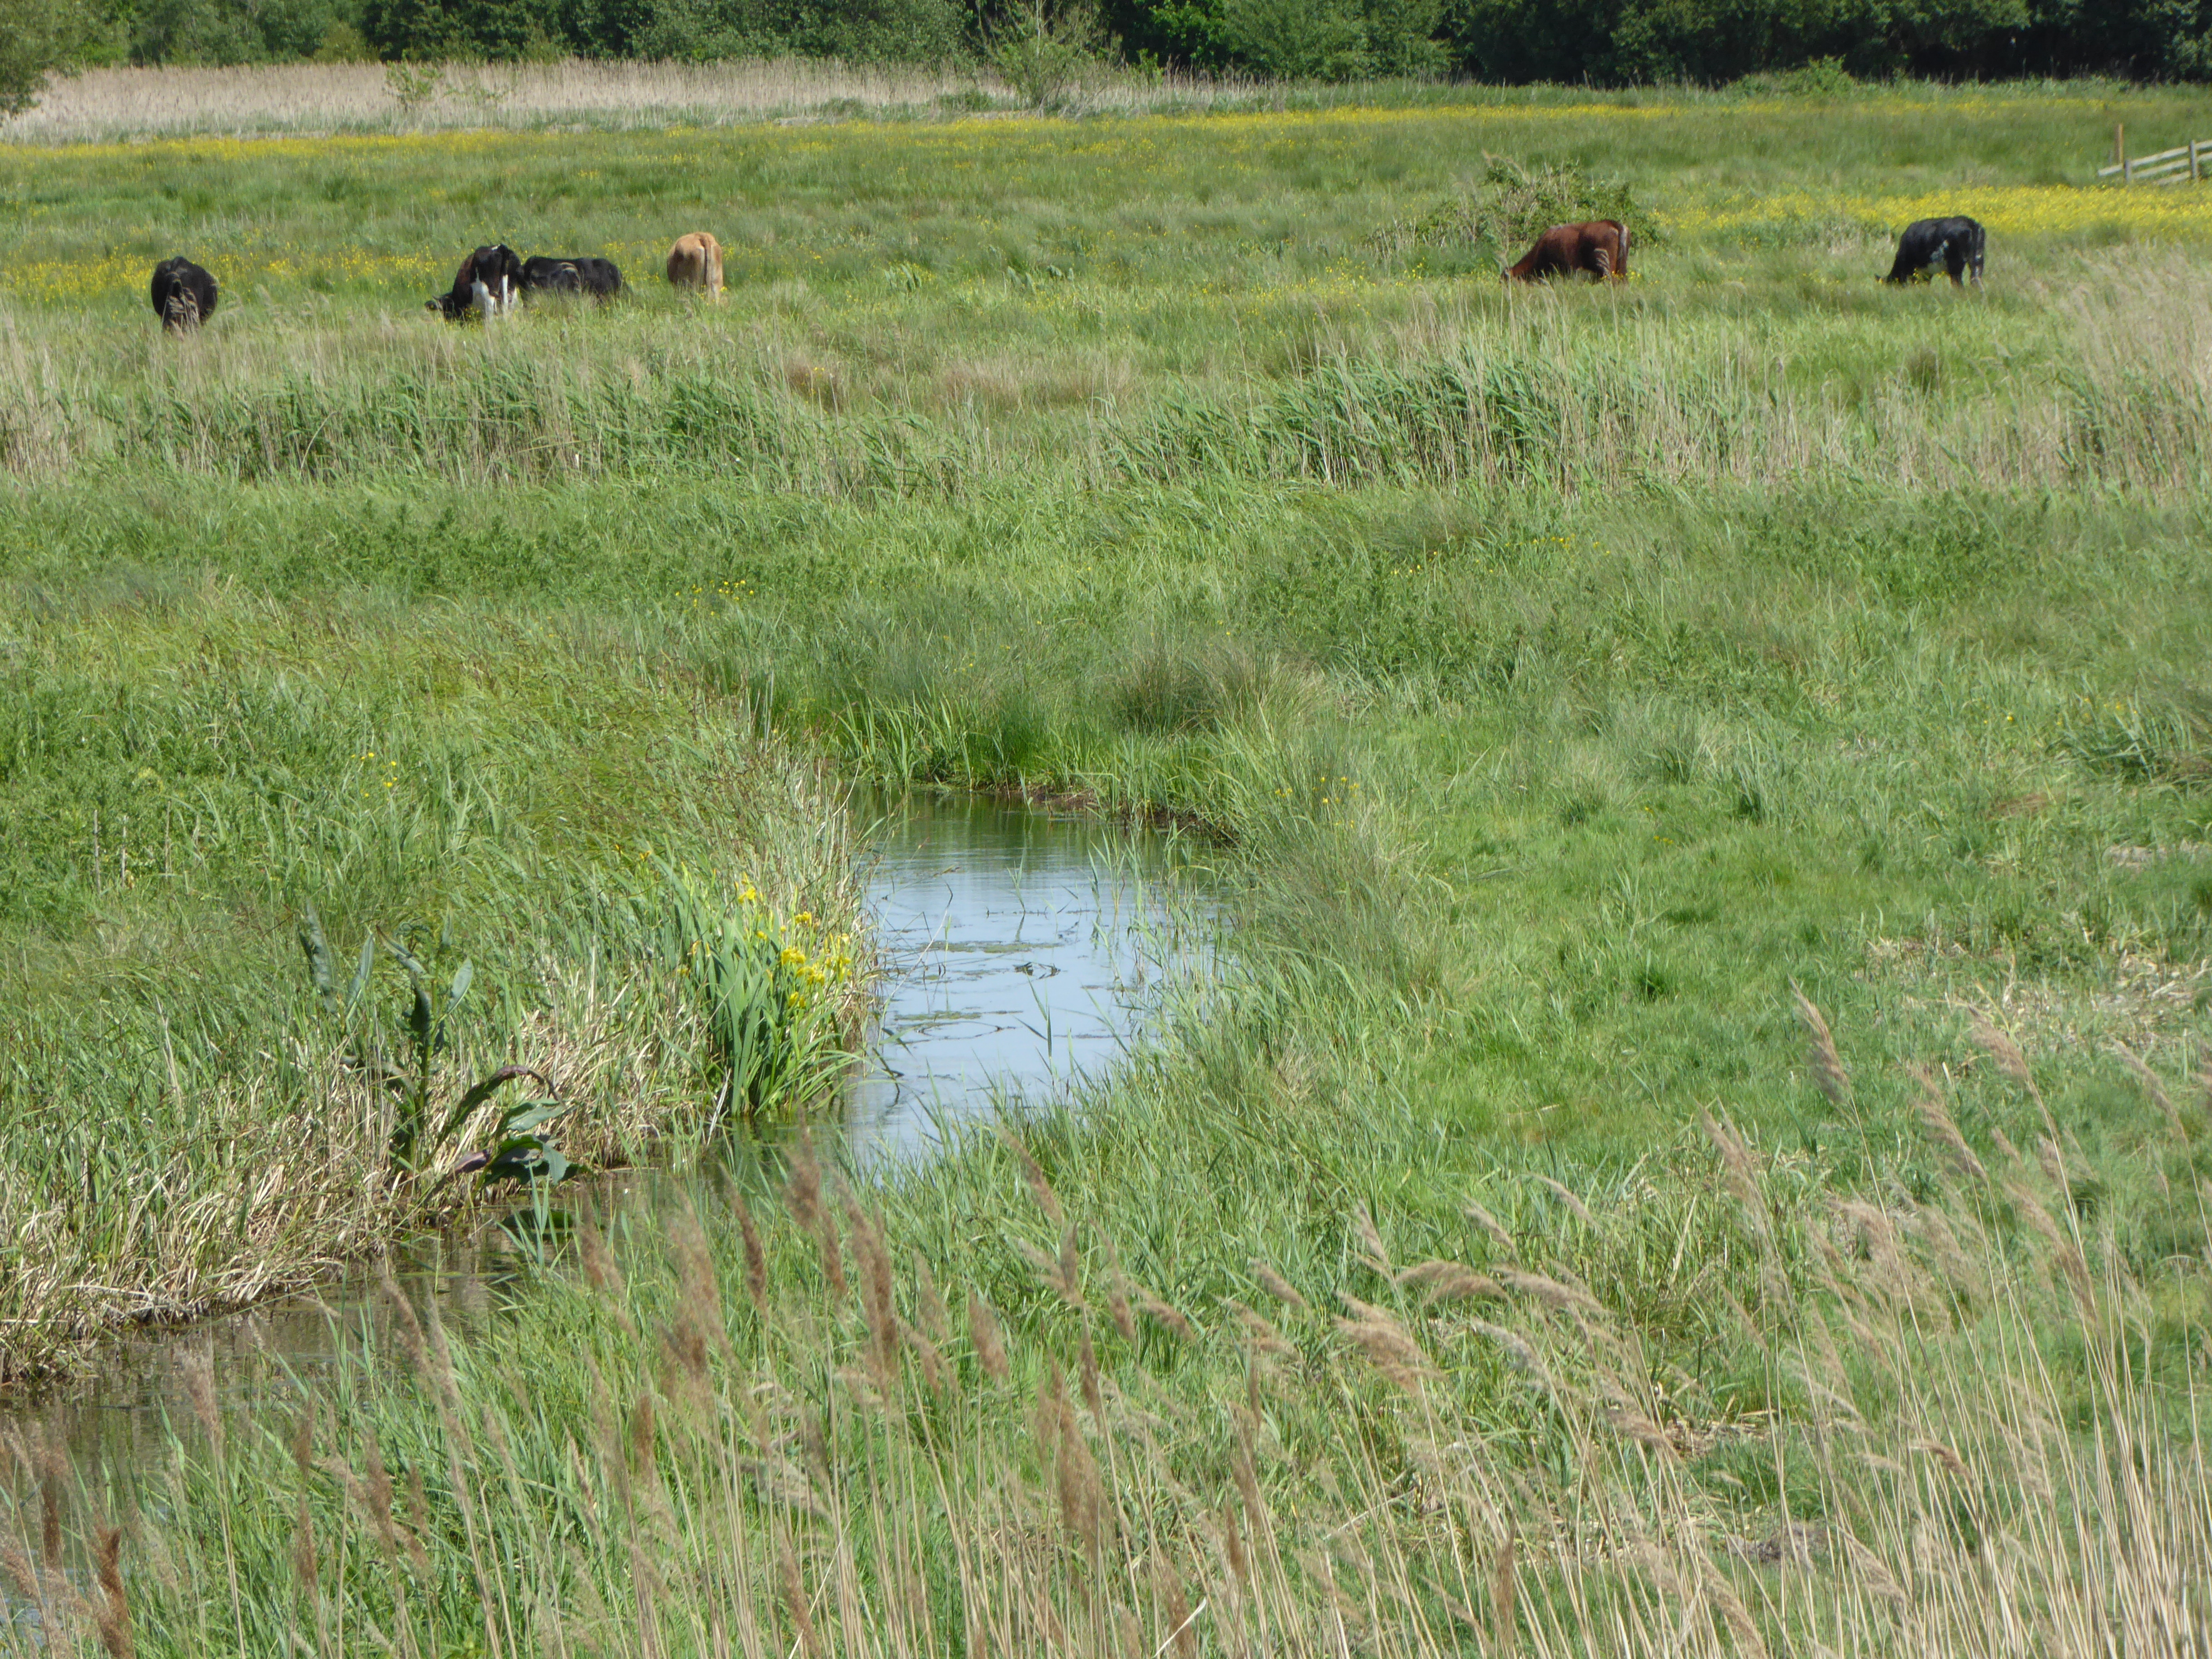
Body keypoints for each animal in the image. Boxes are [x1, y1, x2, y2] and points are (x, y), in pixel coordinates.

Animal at [1884, 218, 1991, 290]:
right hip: (1977, 259)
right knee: (1976, 280)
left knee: (1959, 285)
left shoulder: (1913, 270)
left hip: (1955, 265)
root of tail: (1971, 224)